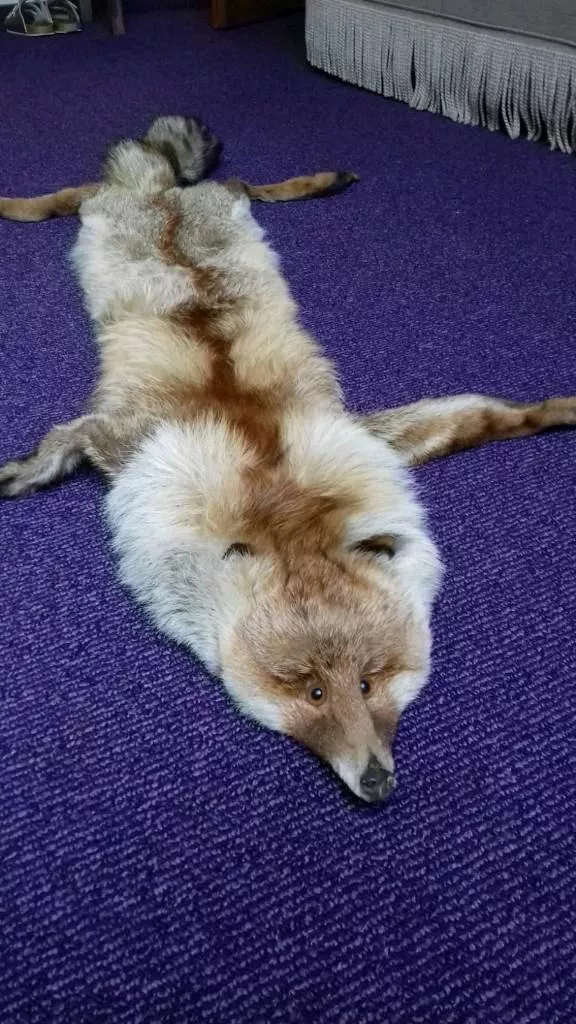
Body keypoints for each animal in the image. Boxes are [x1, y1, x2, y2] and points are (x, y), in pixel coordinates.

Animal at [2, 115, 575, 803]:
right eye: (312, 690)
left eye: (369, 680)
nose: (376, 782)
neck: (277, 493)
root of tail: (162, 197)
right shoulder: (128, 443)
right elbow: (59, 441)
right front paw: (22, 473)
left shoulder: (369, 437)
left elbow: (488, 416)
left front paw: (559, 409)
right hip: (105, 208)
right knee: (75, 193)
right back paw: (13, 204)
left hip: (214, 203)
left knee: (239, 182)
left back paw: (316, 180)